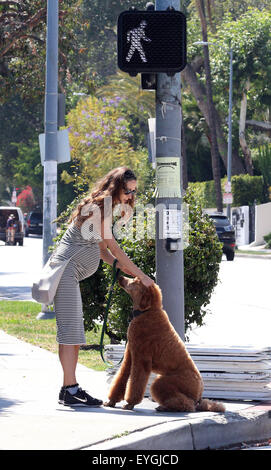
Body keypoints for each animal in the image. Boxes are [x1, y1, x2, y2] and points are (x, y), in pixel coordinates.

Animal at [104, 278, 225, 414]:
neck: (147, 311)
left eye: (135, 281)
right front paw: (112, 401)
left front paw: (130, 403)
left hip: (166, 383)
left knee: (188, 405)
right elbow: (121, 376)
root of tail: (199, 395)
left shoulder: (141, 359)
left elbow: (136, 382)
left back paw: (167, 407)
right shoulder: (130, 355)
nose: (120, 277)